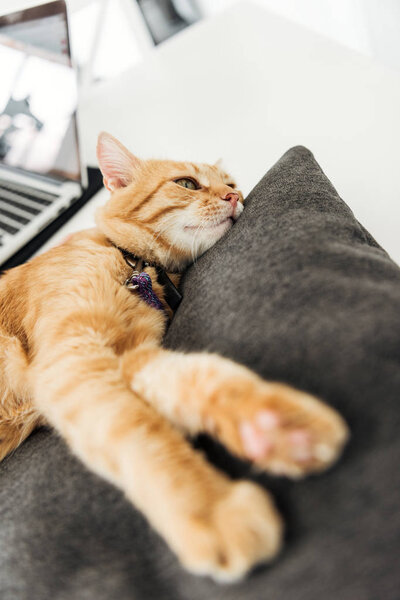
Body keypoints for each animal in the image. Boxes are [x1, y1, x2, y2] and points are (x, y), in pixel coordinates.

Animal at [0, 132, 348, 580]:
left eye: (231, 183)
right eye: (187, 184)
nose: (234, 196)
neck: (133, 264)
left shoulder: (132, 357)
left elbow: (200, 374)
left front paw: (273, 425)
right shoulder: (74, 362)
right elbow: (145, 437)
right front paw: (213, 508)